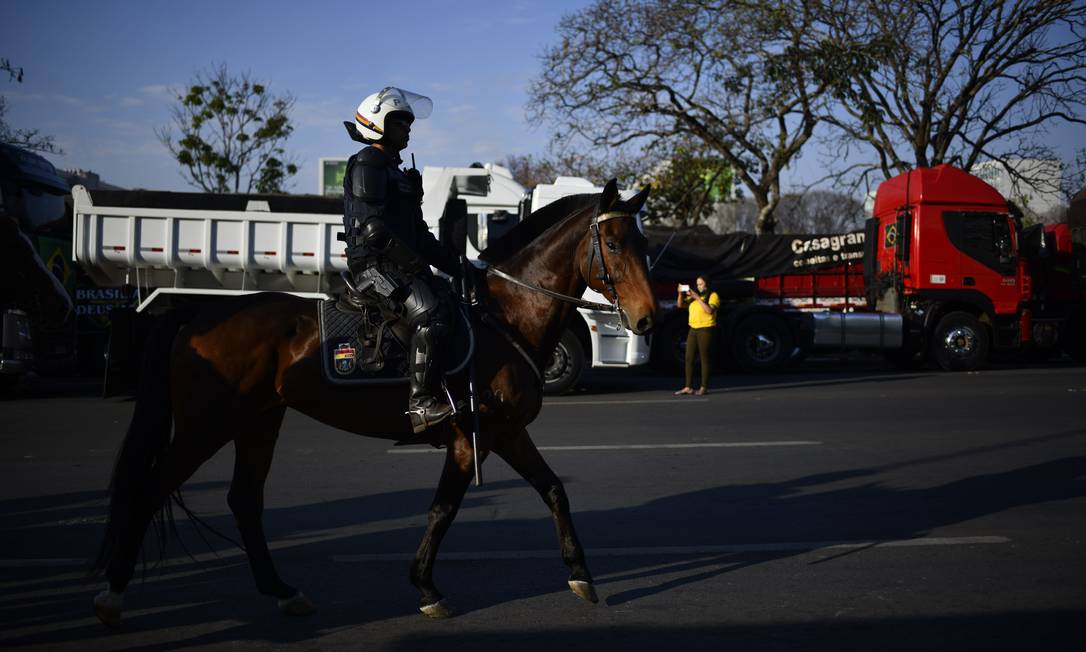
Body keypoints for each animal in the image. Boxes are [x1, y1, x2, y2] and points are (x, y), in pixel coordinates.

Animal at [91, 179, 651, 625]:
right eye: (613, 242)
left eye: (643, 242)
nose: (648, 317)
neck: (504, 319)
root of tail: (197, 314)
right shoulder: (470, 440)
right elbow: (443, 509)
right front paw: (426, 587)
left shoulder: (507, 433)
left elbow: (554, 490)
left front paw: (580, 574)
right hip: (205, 425)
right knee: (151, 489)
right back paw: (113, 596)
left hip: (258, 421)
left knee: (244, 501)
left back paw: (282, 591)